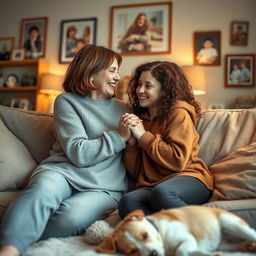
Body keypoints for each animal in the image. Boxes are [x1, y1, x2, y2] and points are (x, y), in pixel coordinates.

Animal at [95, 206, 256, 256]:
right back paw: (248, 247)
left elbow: (181, 251)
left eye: (145, 235)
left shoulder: (188, 239)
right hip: (226, 244)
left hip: (231, 223)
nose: (153, 254)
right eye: (133, 251)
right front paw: (211, 255)